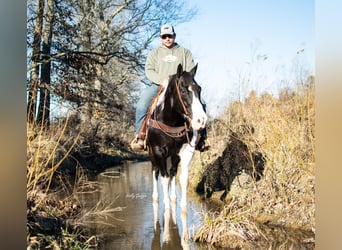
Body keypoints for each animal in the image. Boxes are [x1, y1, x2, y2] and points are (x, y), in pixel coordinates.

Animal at [146, 63, 207, 213]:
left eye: (199, 89)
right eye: (183, 90)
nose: (201, 120)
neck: (171, 122)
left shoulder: (186, 151)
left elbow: (182, 178)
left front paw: (182, 207)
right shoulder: (158, 151)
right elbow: (163, 178)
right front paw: (167, 207)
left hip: (173, 156)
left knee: (172, 173)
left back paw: (173, 197)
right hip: (152, 154)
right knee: (155, 171)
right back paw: (156, 197)